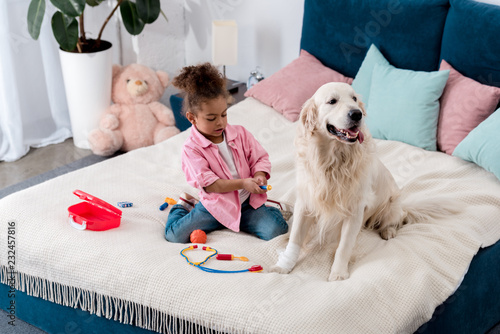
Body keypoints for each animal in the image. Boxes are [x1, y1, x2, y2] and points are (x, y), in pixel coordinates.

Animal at [272, 82, 456, 280]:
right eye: (332, 101)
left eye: (354, 99)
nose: (357, 113)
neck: (333, 161)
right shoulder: (306, 201)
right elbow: (296, 237)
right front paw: (284, 265)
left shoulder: (354, 209)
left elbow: (344, 246)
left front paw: (338, 273)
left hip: (391, 206)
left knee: (396, 220)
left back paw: (388, 231)